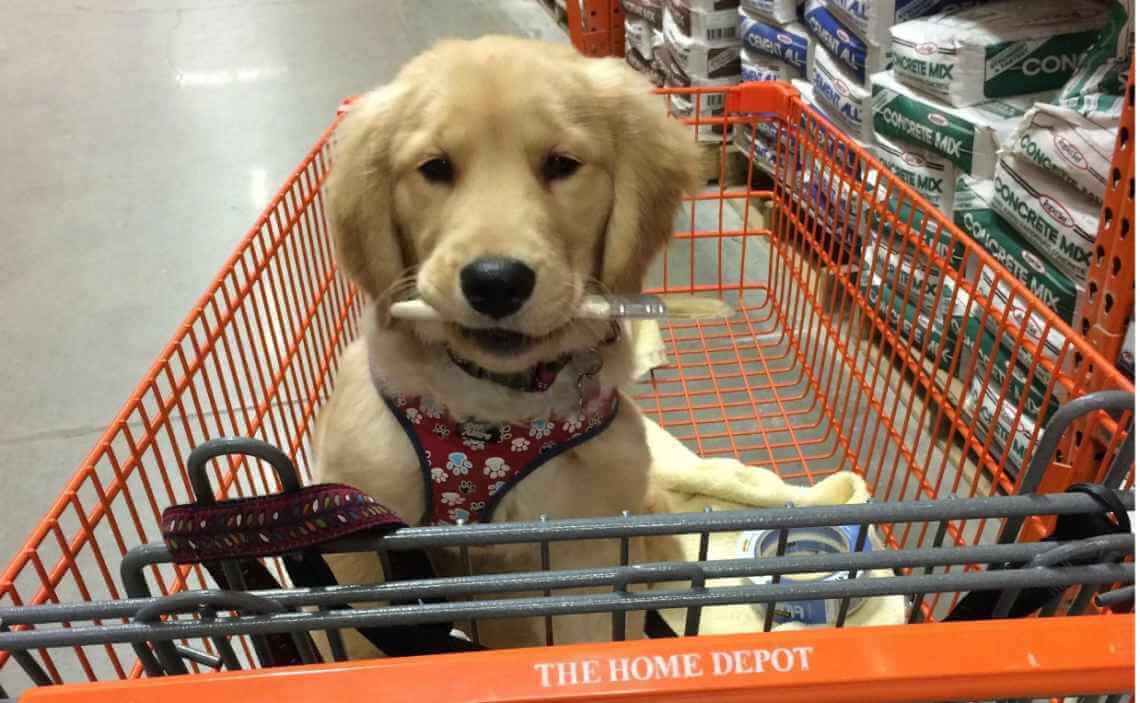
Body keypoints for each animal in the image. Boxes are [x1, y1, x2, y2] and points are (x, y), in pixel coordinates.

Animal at [314, 37, 702, 651]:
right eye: (435, 168)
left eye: (562, 165)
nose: (496, 282)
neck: (492, 408)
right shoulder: (355, 535)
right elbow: (357, 643)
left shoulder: (584, 544)